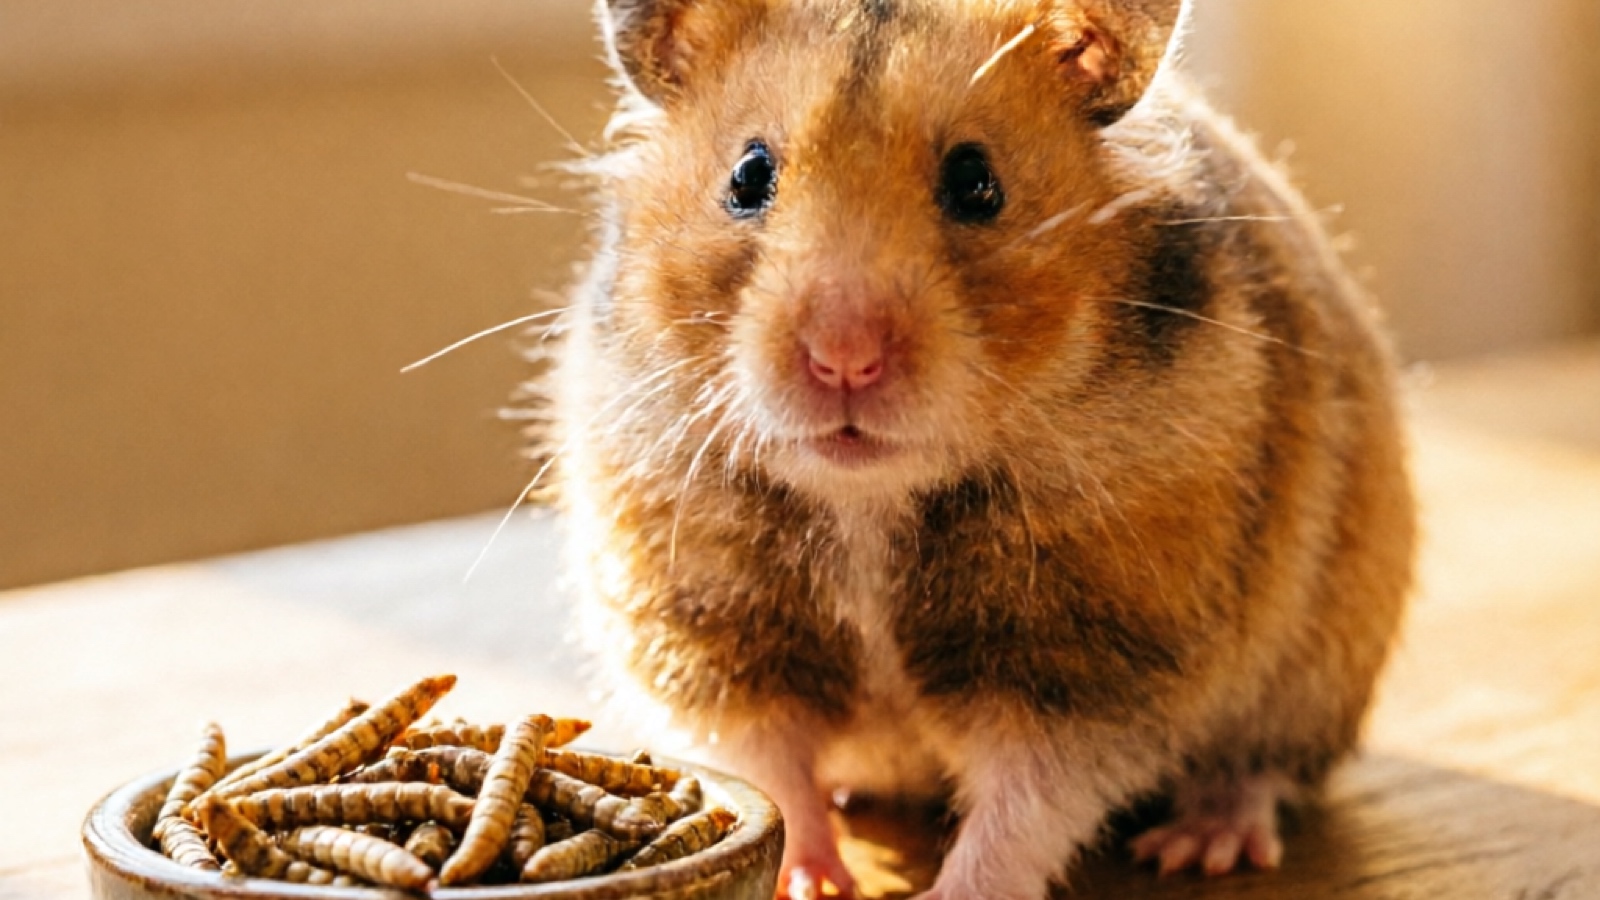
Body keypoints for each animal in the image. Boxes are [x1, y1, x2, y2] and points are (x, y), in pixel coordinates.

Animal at [540, 0, 1415, 897]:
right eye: (748, 176)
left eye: (976, 182)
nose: (844, 358)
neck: (869, 496)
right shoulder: (710, 629)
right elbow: (771, 766)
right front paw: (811, 877)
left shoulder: (1091, 654)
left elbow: (1026, 805)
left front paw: (949, 887)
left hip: (1315, 670)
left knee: (1262, 768)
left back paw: (1202, 843)